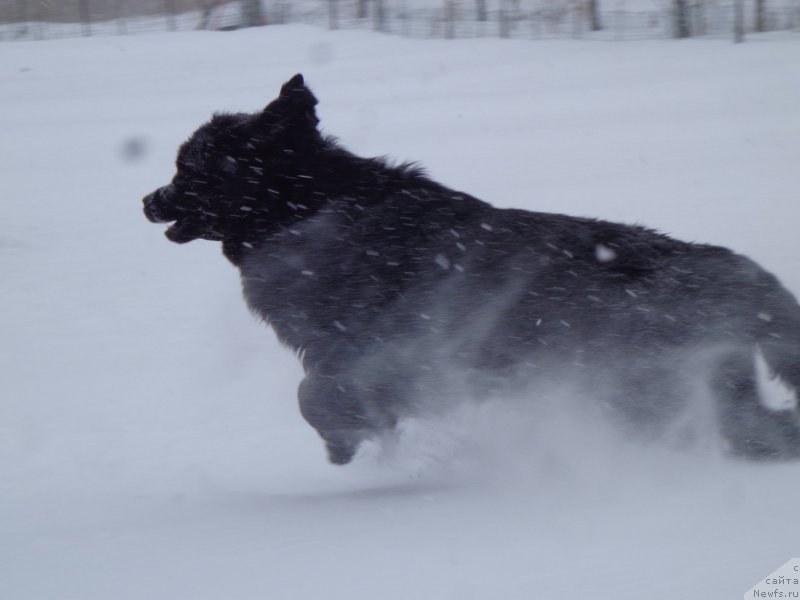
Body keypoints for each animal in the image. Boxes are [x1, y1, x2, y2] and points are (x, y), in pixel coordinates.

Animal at [144, 75, 800, 466]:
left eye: (189, 169)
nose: (148, 200)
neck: (310, 212)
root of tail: (742, 272)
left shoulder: (376, 356)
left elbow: (316, 397)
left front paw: (348, 441)